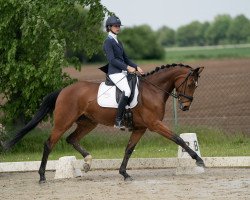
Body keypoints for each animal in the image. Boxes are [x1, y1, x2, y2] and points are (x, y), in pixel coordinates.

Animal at [1, 63, 204, 183]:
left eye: (195, 85)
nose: (185, 106)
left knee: (72, 139)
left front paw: (124, 173)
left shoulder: (141, 128)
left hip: (88, 123)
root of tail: (64, 90)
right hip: (63, 121)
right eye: (190, 84)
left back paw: (87, 163)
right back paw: (42, 176)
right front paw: (198, 160)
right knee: (49, 143)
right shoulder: (154, 124)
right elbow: (178, 138)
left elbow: (129, 149)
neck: (152, 90)